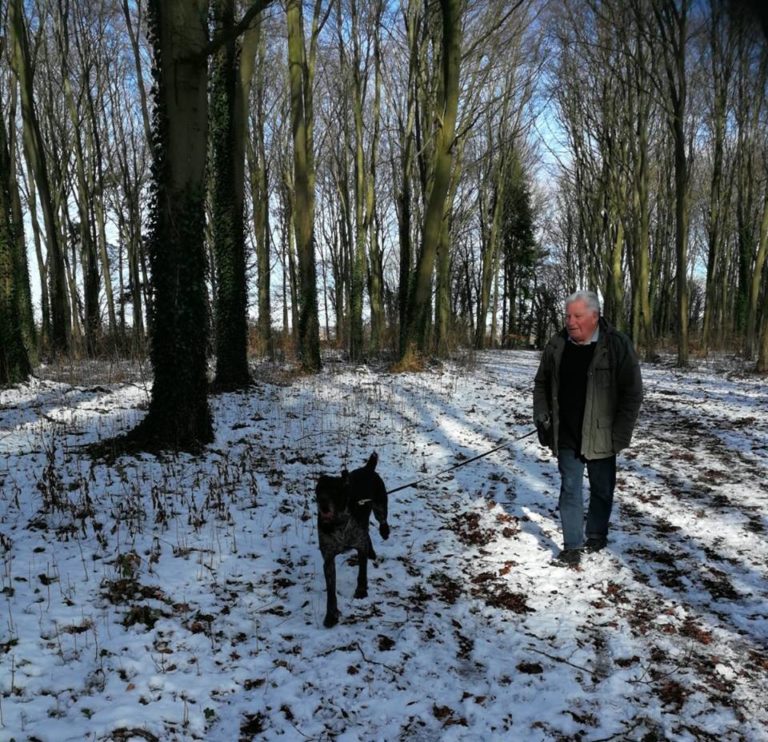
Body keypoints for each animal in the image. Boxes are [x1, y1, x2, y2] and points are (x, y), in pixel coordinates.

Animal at [316, 454, 390, 628]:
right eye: (319, 490)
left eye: (335, 490)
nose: (322, 502)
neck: (339, 523)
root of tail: (367, 468)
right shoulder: (328, 559)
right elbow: (331, 592)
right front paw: (331, 615)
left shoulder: (360, 546)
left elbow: (362, 573)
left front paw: (361, 591)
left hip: (379, 506)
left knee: (382, 520)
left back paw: (384, 532)